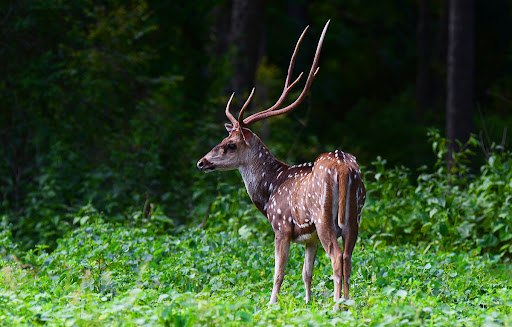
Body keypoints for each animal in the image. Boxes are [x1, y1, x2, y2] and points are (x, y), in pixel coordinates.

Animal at [196, 21, 364, 310]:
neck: (269, 191)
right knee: (348, 258)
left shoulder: (282, 226)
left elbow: (279, 272)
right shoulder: (308, 237)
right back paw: (347, 302)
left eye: (231, 144)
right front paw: (307, 303)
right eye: (223, 138)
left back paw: (336, 305)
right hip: (354, 215)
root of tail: (344, 168)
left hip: (324, 218)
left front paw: (271, 304)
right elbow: (306, 273)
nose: (201, 162)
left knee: (337, 257)